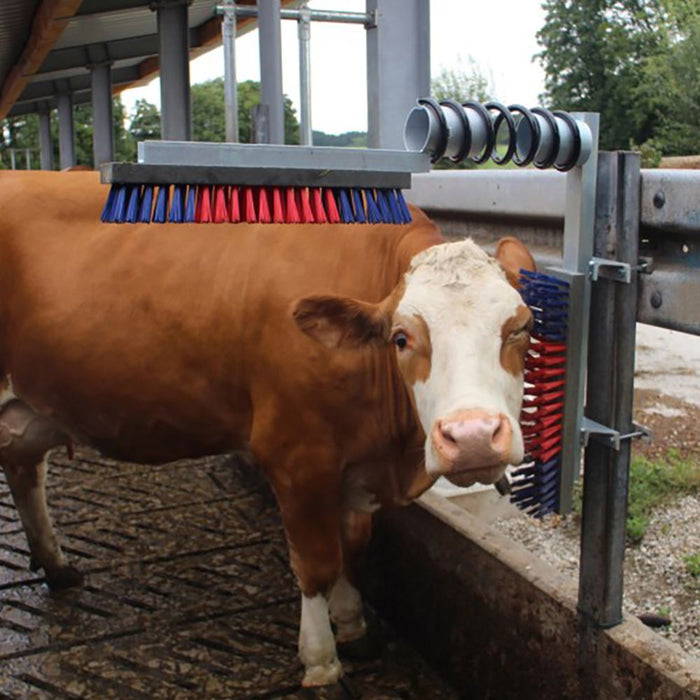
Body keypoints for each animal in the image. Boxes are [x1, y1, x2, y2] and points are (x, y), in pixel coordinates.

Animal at [0, 172, 532, 688]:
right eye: (401, 338)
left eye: (523, 327)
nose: (473, 436)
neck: (391, 455)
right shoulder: (296, 457)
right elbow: (317, 562)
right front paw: (321, 661)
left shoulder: (354, 465)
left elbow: (352, 548)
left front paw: (354, 628)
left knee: (24, 468)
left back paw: (57, 566)